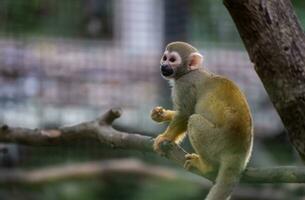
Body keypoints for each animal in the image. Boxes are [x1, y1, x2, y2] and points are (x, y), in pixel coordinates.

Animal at [151, 41, 253, 199]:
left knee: (193, 121)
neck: (188, 72)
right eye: (165, 57)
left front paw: (165, 137)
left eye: (172, 60)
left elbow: (185, 114)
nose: (163, 65)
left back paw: (206, 167)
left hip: (217, 141)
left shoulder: (184, 85)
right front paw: (161, 115)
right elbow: (185, 112)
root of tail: (238, 152)